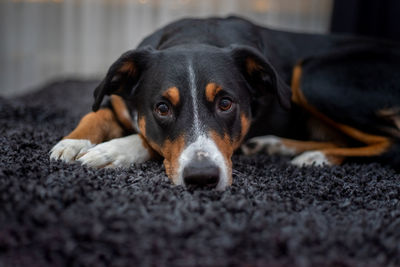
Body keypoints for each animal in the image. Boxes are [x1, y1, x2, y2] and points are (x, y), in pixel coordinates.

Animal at [50, 16, 400, 191]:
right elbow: (95, 115)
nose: (202, 178)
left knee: (391, 145)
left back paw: (316, 157)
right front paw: (72, 142)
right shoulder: (120, 102)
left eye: (226, 104)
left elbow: (146, 139)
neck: (197, 36)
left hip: (314, 75)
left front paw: (112, 152)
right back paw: (278, 146)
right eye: (162, 108)